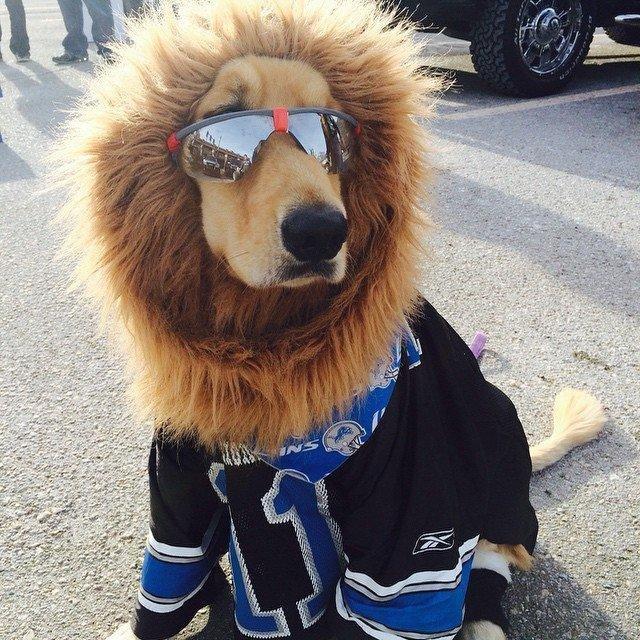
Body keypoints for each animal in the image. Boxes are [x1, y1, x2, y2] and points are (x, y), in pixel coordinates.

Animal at [57, 1, 604, 640]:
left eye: (332, 134)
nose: (321, 231)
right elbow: (170, 581)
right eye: (222, 125)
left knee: (495, 563)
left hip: (494, 453)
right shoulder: (179, 494)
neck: (267, 357)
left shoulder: (405, 544)